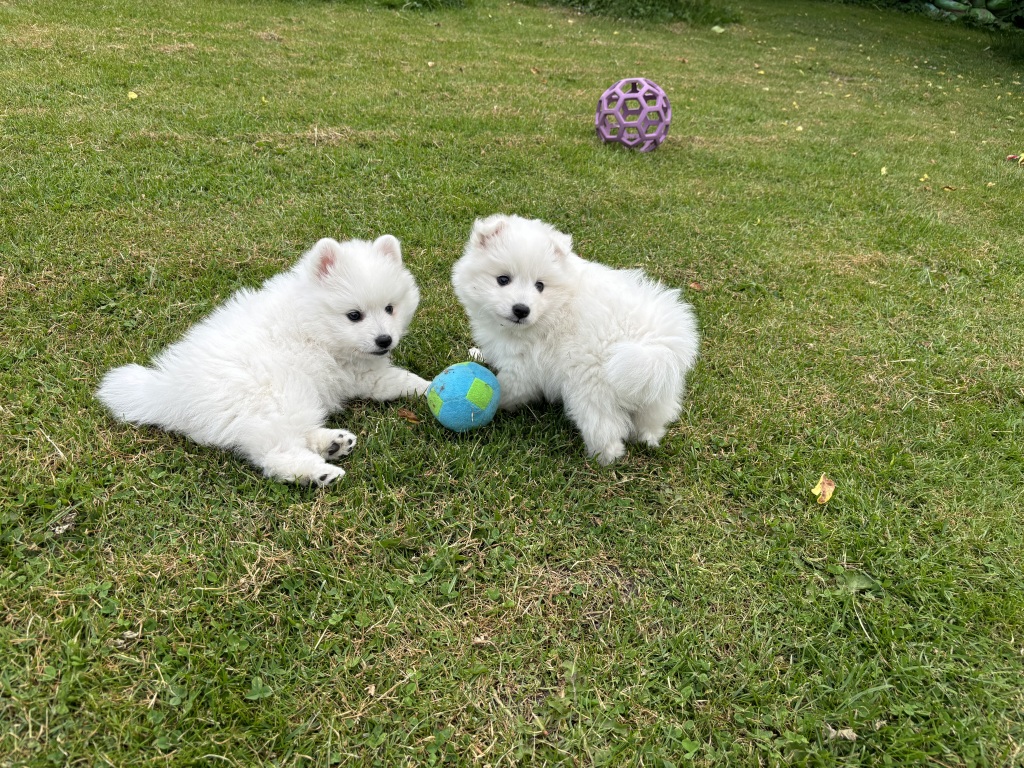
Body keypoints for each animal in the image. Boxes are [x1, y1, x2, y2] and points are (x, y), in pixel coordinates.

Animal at [97, 235, 430, 485]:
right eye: (354, 315)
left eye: (390, 308)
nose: (384, 340)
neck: (312, 320)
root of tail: (167, 395)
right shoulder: (357, 372)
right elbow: (395, 379)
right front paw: (429, 387)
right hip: (276, 396)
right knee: (275, 455)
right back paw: (320, 473)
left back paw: (333, 444)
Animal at [452, 214, 699, 465]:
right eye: (503, 279)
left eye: (540, 286)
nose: (521, 310)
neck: (555, 307)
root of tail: (651, 342)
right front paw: (477, 354)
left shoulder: (524, 367)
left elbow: (505, 387)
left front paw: (492, 403)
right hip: (656, 390)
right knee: (651, 419)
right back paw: (648, 437)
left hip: (591, 387)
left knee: (604, 428)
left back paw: (602, 458)